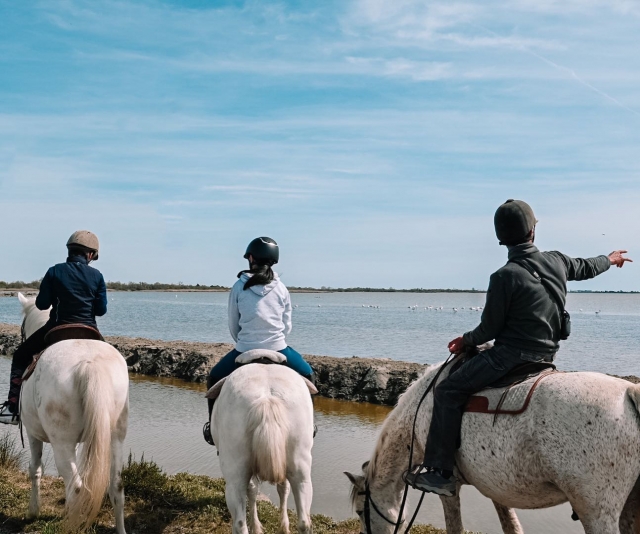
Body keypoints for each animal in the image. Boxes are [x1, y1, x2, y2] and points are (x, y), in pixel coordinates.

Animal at [17, 292, 129, 534]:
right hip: (115, 436)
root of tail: (89, 363)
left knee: (76, 486)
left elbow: (35, 469)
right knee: (116, 486)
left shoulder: (32, 433)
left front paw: (33, 511)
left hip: (62, 442)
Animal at [207, 351, 315, 534]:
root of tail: (266, 398)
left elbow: (254, 490)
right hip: (300, 467)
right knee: (304, 521)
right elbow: (277, 488)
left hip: (235, 473)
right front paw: (281, 526)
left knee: (239, 522)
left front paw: (259, 526)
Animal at [345, 358, 640, 534]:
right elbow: (510, 525)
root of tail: (629, 392)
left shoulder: (449, 487)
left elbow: (455, 526)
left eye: (360, 511)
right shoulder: (497, 487)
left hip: (597, 513)